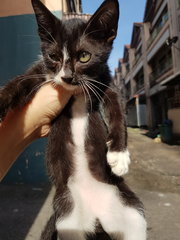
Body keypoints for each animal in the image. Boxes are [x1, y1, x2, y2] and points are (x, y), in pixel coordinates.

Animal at [0, 0, 146, 239]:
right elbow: (18, 82)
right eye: (54, 56)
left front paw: (119, 155)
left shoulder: (106, 81)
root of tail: (98, 218)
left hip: (133, 213)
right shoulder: (41, 70)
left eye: (84, 56)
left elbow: (117, 112)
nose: (67, 77)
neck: (75, 92)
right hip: (67, 217)